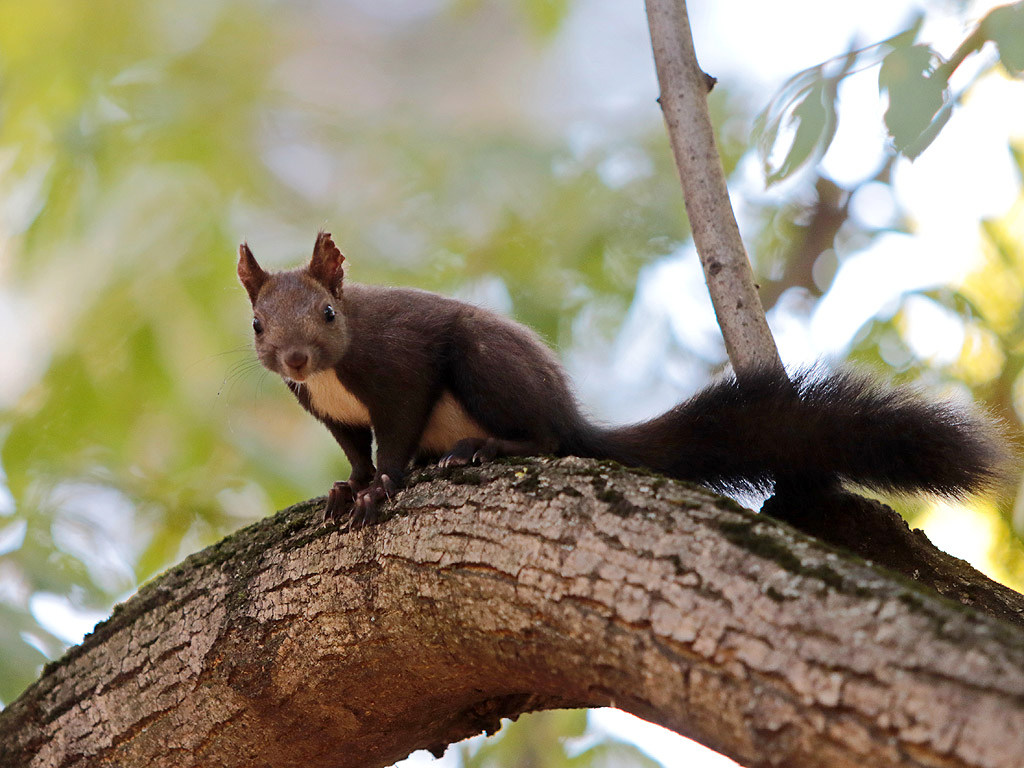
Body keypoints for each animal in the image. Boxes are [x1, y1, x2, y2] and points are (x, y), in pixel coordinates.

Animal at [237, 228, 1007, 528]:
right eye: (257, 325)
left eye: (328, 312)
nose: (295, 359)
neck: (334, 373)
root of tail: (573, 413)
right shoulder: (329, 411)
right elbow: (354, 449)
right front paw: (350, 486)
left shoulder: (398, 371)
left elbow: (394, 435)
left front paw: (380, 490)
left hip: (487, 365)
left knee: (550, 441)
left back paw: (491, 448)